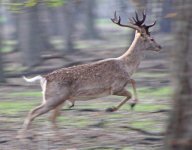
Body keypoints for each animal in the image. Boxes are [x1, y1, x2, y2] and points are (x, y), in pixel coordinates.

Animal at [19, 11, 161, 134]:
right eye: (151, 38)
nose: (160, 47)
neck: (126, 66)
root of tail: (44, 78)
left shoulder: (122, 82)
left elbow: (133, 81)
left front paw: (123, 106)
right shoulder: (115, 87)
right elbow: (131, 89)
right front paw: (114, 108)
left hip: (58, 99)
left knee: (50, 118)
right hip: (53, 98)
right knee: (33, 112)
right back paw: (26, 138)